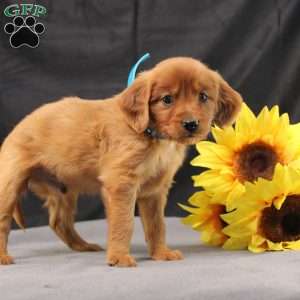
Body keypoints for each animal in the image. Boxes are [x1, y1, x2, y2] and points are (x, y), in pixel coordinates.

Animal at [0, 57, 241, 266]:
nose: (191, 124)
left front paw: (160, 253)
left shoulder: (155, 190)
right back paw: (3, 257)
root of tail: (19, 126)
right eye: (167, 100)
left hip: (64, 191)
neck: (152, 137)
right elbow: (123, 222)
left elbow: (157, 225)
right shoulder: (121, 182)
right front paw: (119, 258)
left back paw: (84, 246)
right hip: (9, 183)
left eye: (203, 97)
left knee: (60, 222)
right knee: (4, 221)